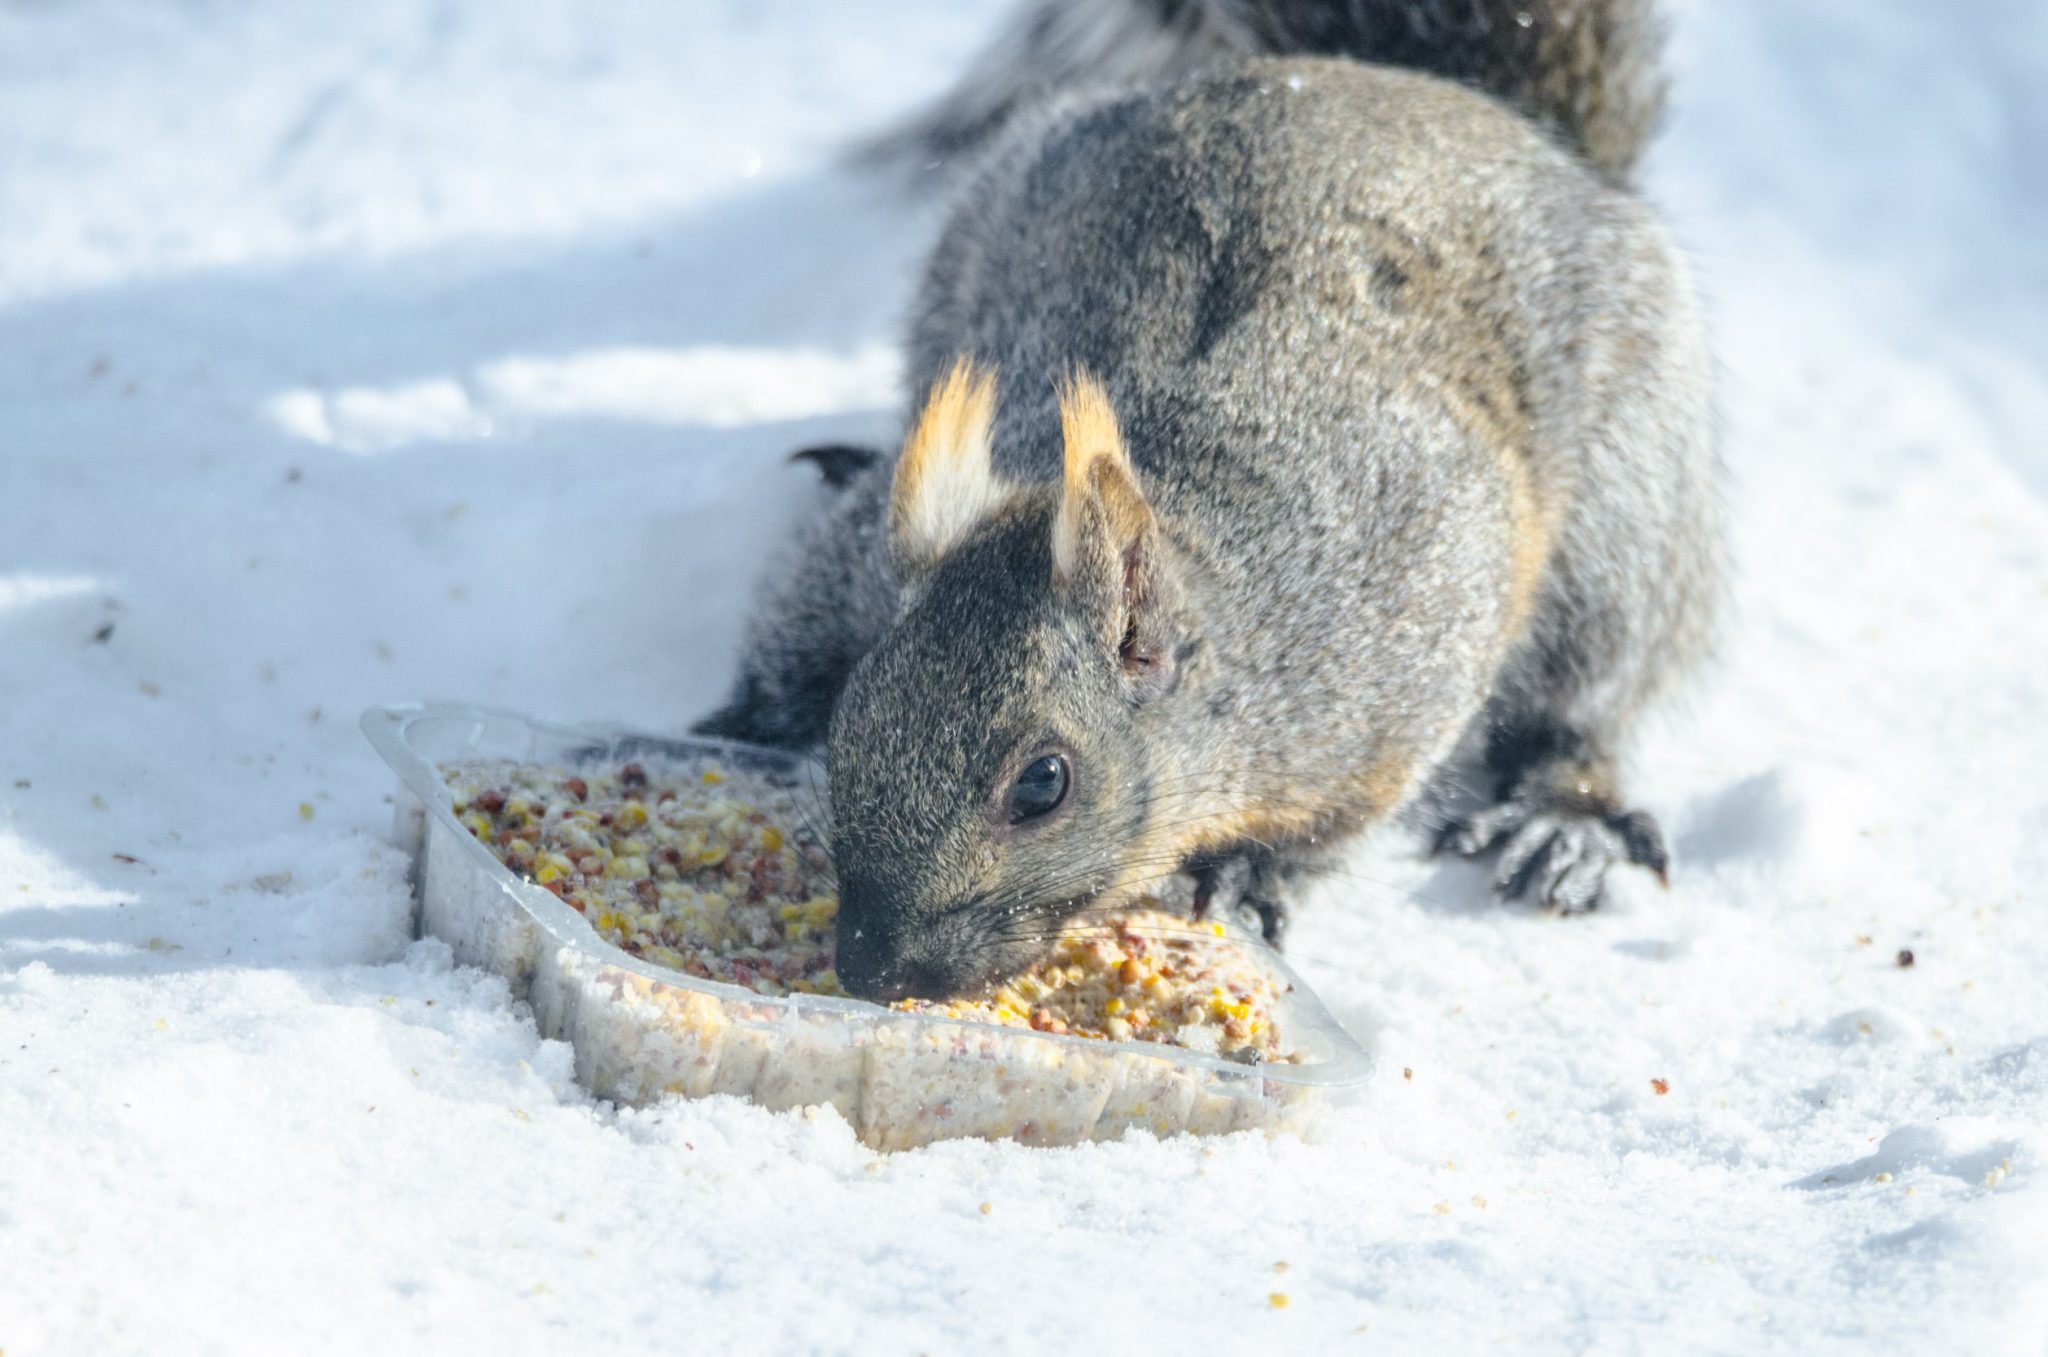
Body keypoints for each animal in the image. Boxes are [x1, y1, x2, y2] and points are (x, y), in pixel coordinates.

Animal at [696, 0, 1722, 1002]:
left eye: (1043, 783)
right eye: (855, 713)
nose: (873, 967)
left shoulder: (1413, 637)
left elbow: (1344, 816)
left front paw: (1250, 869)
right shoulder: (858, 560)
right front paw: (752, 717)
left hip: (1627, 515)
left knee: (1589, 698)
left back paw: (1562, 819)